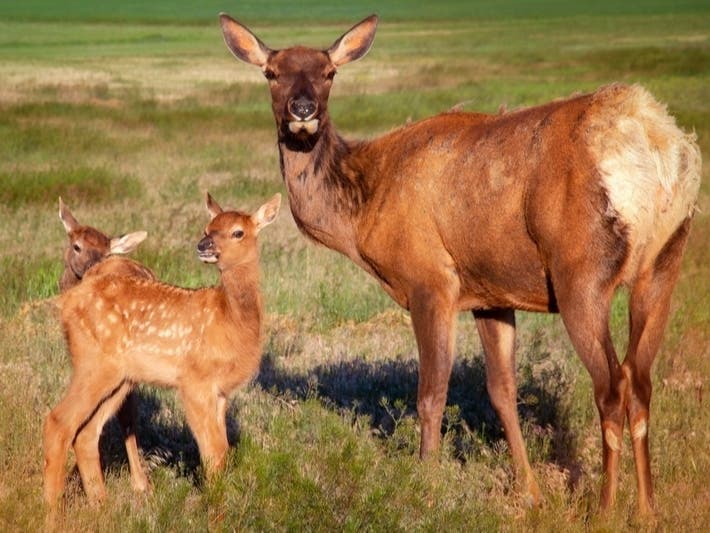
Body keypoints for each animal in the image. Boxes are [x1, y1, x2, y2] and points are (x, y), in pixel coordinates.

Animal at [219, 13, 701, 514]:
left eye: (329, 72)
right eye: (271, 72)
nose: (303, 109)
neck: (364, 208)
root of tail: (658, 147)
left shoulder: (430, 280)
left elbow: (431, 394)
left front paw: (426, 484)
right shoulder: (491, 292)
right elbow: (503, 391)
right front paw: (530, 491)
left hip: (580, 272)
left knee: (612, 384)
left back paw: (606, 507)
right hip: (662, 264)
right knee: (641, 381)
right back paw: (648, 508)